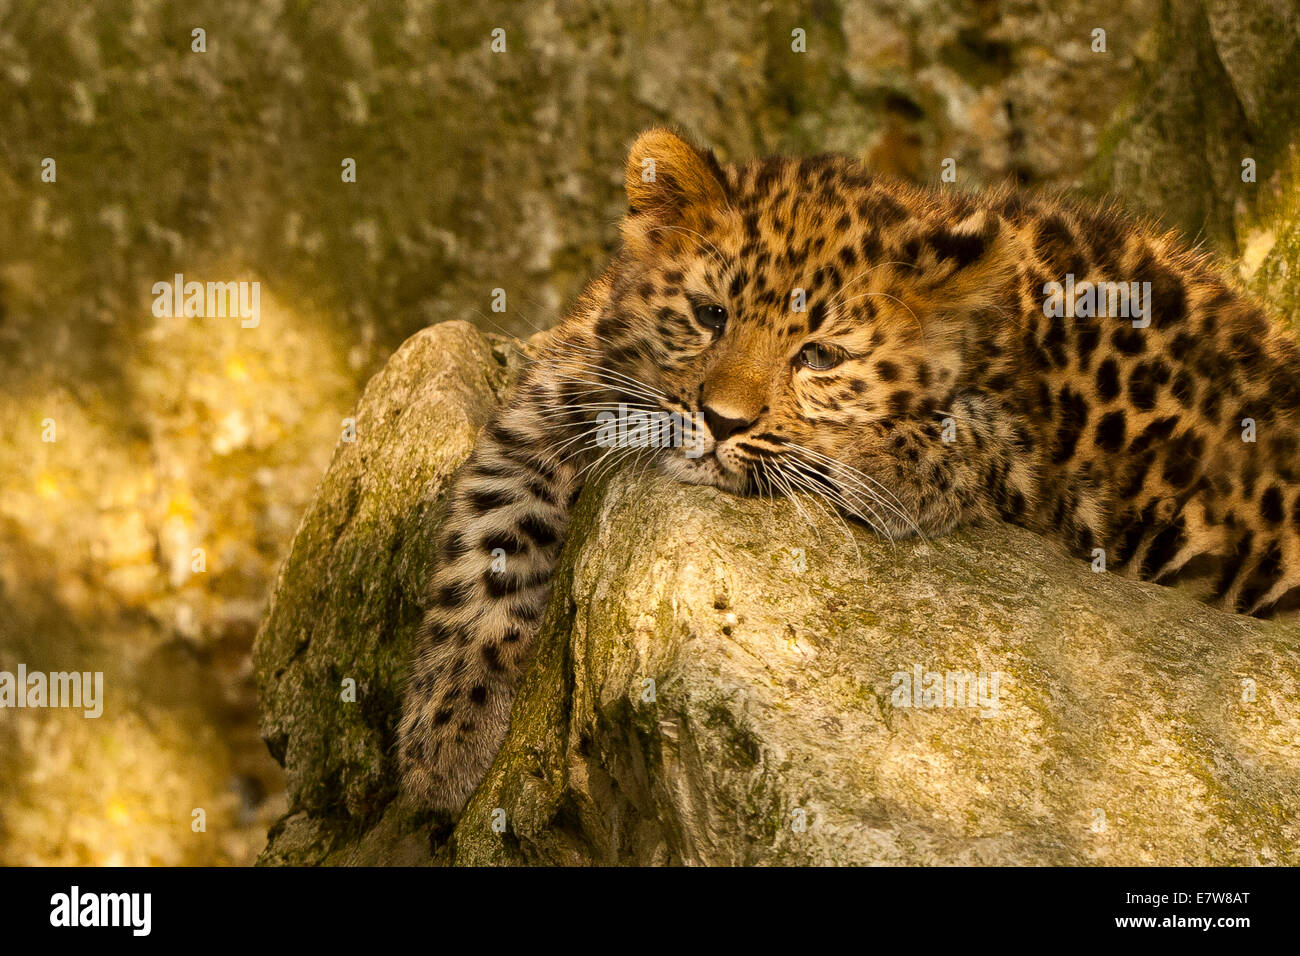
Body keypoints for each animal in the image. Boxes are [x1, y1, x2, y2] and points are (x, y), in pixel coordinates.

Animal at [398, 127, 1300, 812]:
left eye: (820, 356)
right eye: (710, 315)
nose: (722, 420)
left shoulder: (1031, 463)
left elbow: (960, 440)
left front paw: (867, 458)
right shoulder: (555, 394)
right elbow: (492, 539)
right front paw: (447, 737)